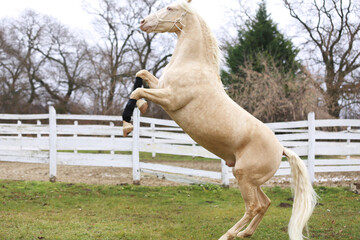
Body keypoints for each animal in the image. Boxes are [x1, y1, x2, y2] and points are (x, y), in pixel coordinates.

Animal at [131, 0, 316, 239]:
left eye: (170, 8)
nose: (143, 22)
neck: (193, 66)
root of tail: (282, 149)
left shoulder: (170, 98)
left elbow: (137, 93)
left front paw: (134, 115)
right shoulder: (161, 87)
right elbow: (143, 74)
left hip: (244, 177)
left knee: (253, 206)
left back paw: (228, 235)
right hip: (251, 180)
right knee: (265, 203)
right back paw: (245, 233)